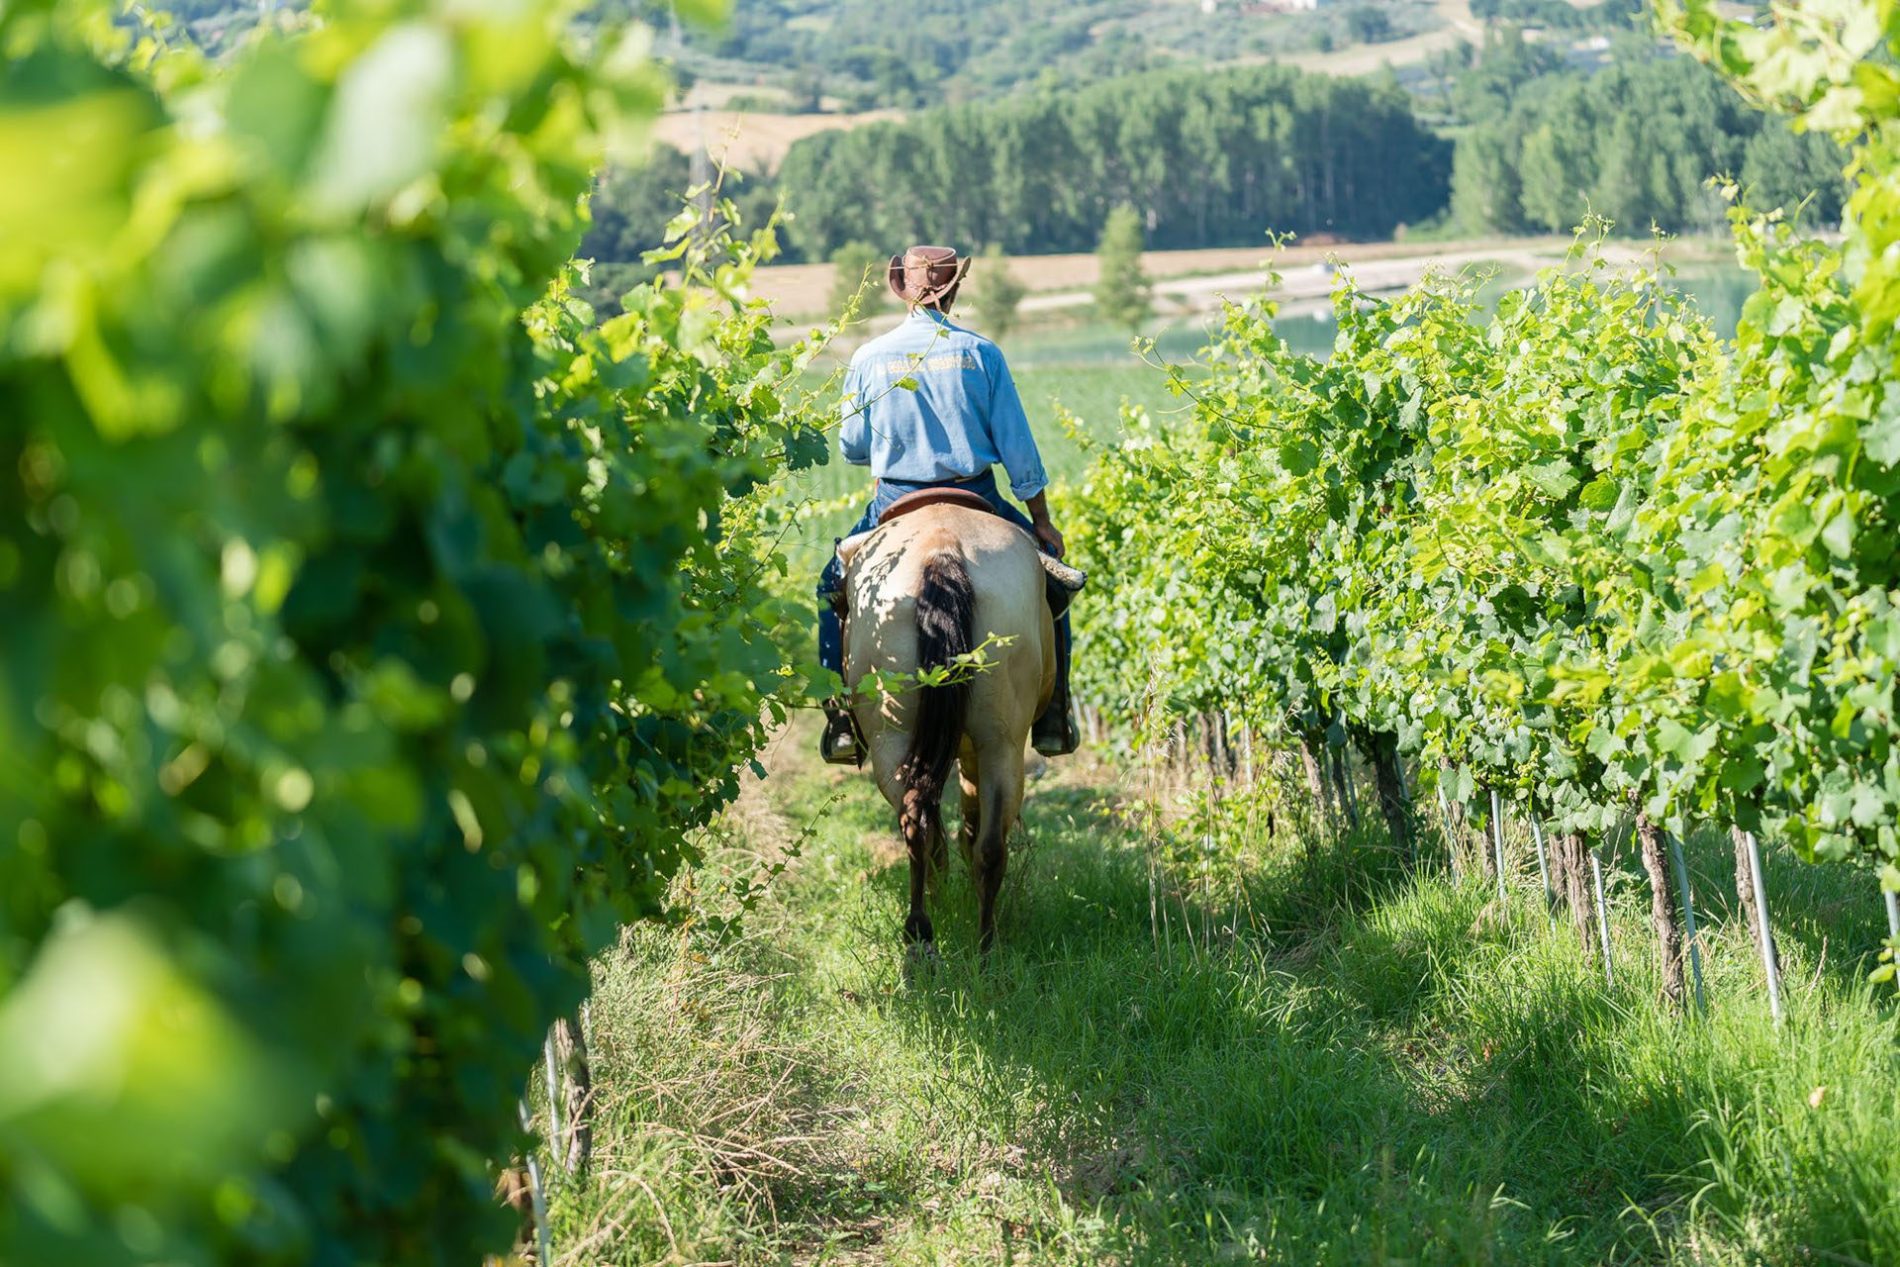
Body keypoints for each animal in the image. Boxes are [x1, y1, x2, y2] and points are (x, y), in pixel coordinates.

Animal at [839, 501, 1064, 957]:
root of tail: (941, 546)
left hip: (897, 739)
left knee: (922, 826)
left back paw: (927, 933)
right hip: (998, 742)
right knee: (983, 841)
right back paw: (981, 943)